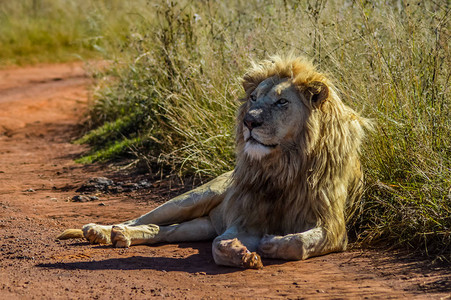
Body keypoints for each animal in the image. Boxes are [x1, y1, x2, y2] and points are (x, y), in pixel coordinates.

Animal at [58, 55, 370, 268]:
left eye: (282, 102)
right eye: (253, 98)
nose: (249, 122)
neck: (283, 164)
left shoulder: (333, 227)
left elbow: (299, 242)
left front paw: (272, 243)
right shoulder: (244, 218)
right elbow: (220, 245)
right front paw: (242, 254)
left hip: (201, 224)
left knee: (164, 232)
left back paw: (121, 236)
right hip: (194, 197)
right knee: (143, 218)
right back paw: (101, 231)